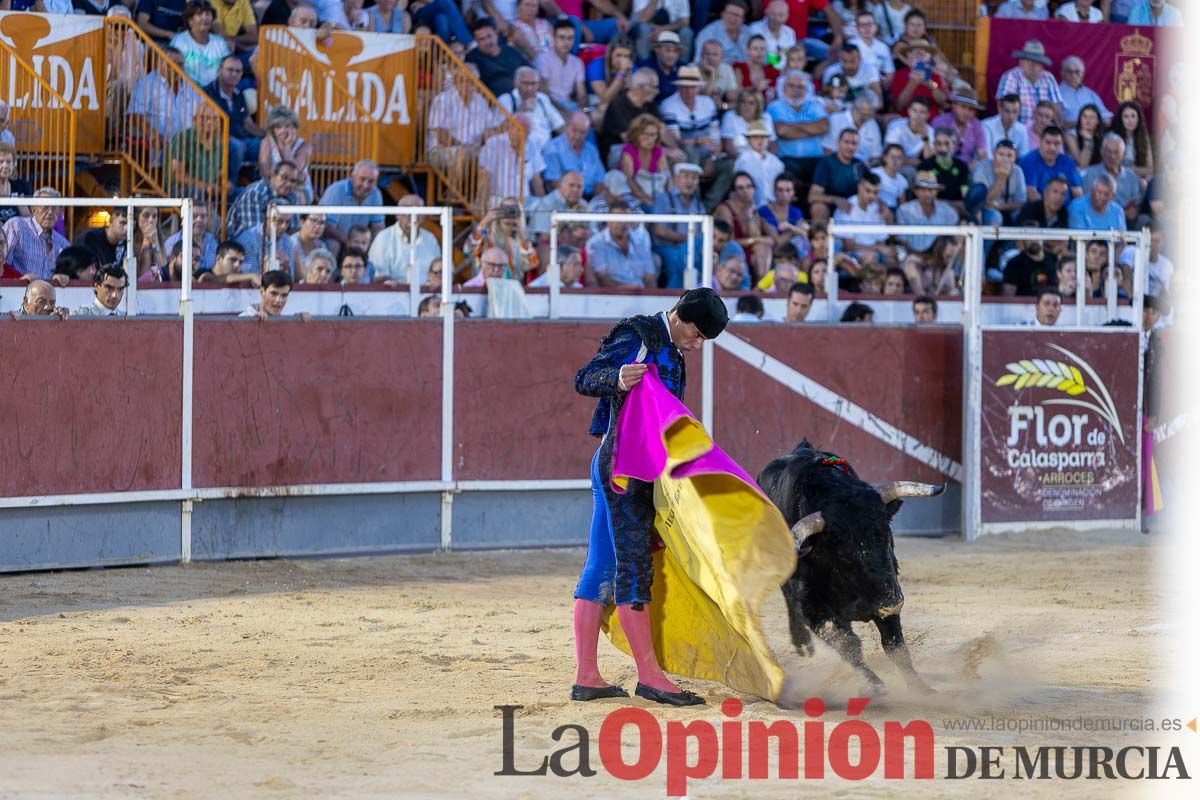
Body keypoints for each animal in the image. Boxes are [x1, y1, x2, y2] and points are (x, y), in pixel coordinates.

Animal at [758, 438, 945, 695]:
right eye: (844, 553)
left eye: (887, 537)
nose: (892, 601)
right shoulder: (814, 610)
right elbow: (849, 645)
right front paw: (877, 686)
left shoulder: (886, 595)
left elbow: (895, 646)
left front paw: (922, 689)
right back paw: (802, 643)